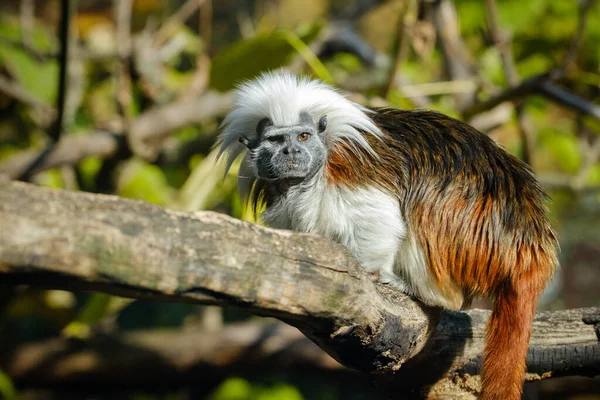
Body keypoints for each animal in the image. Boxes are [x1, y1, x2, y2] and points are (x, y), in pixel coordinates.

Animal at [218, 70, 560, 398]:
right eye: (276, 140)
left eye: (303, 135)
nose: (291, 150)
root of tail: (529, 242)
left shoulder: (348, 165)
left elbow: (377, 213)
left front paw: (369, 273)